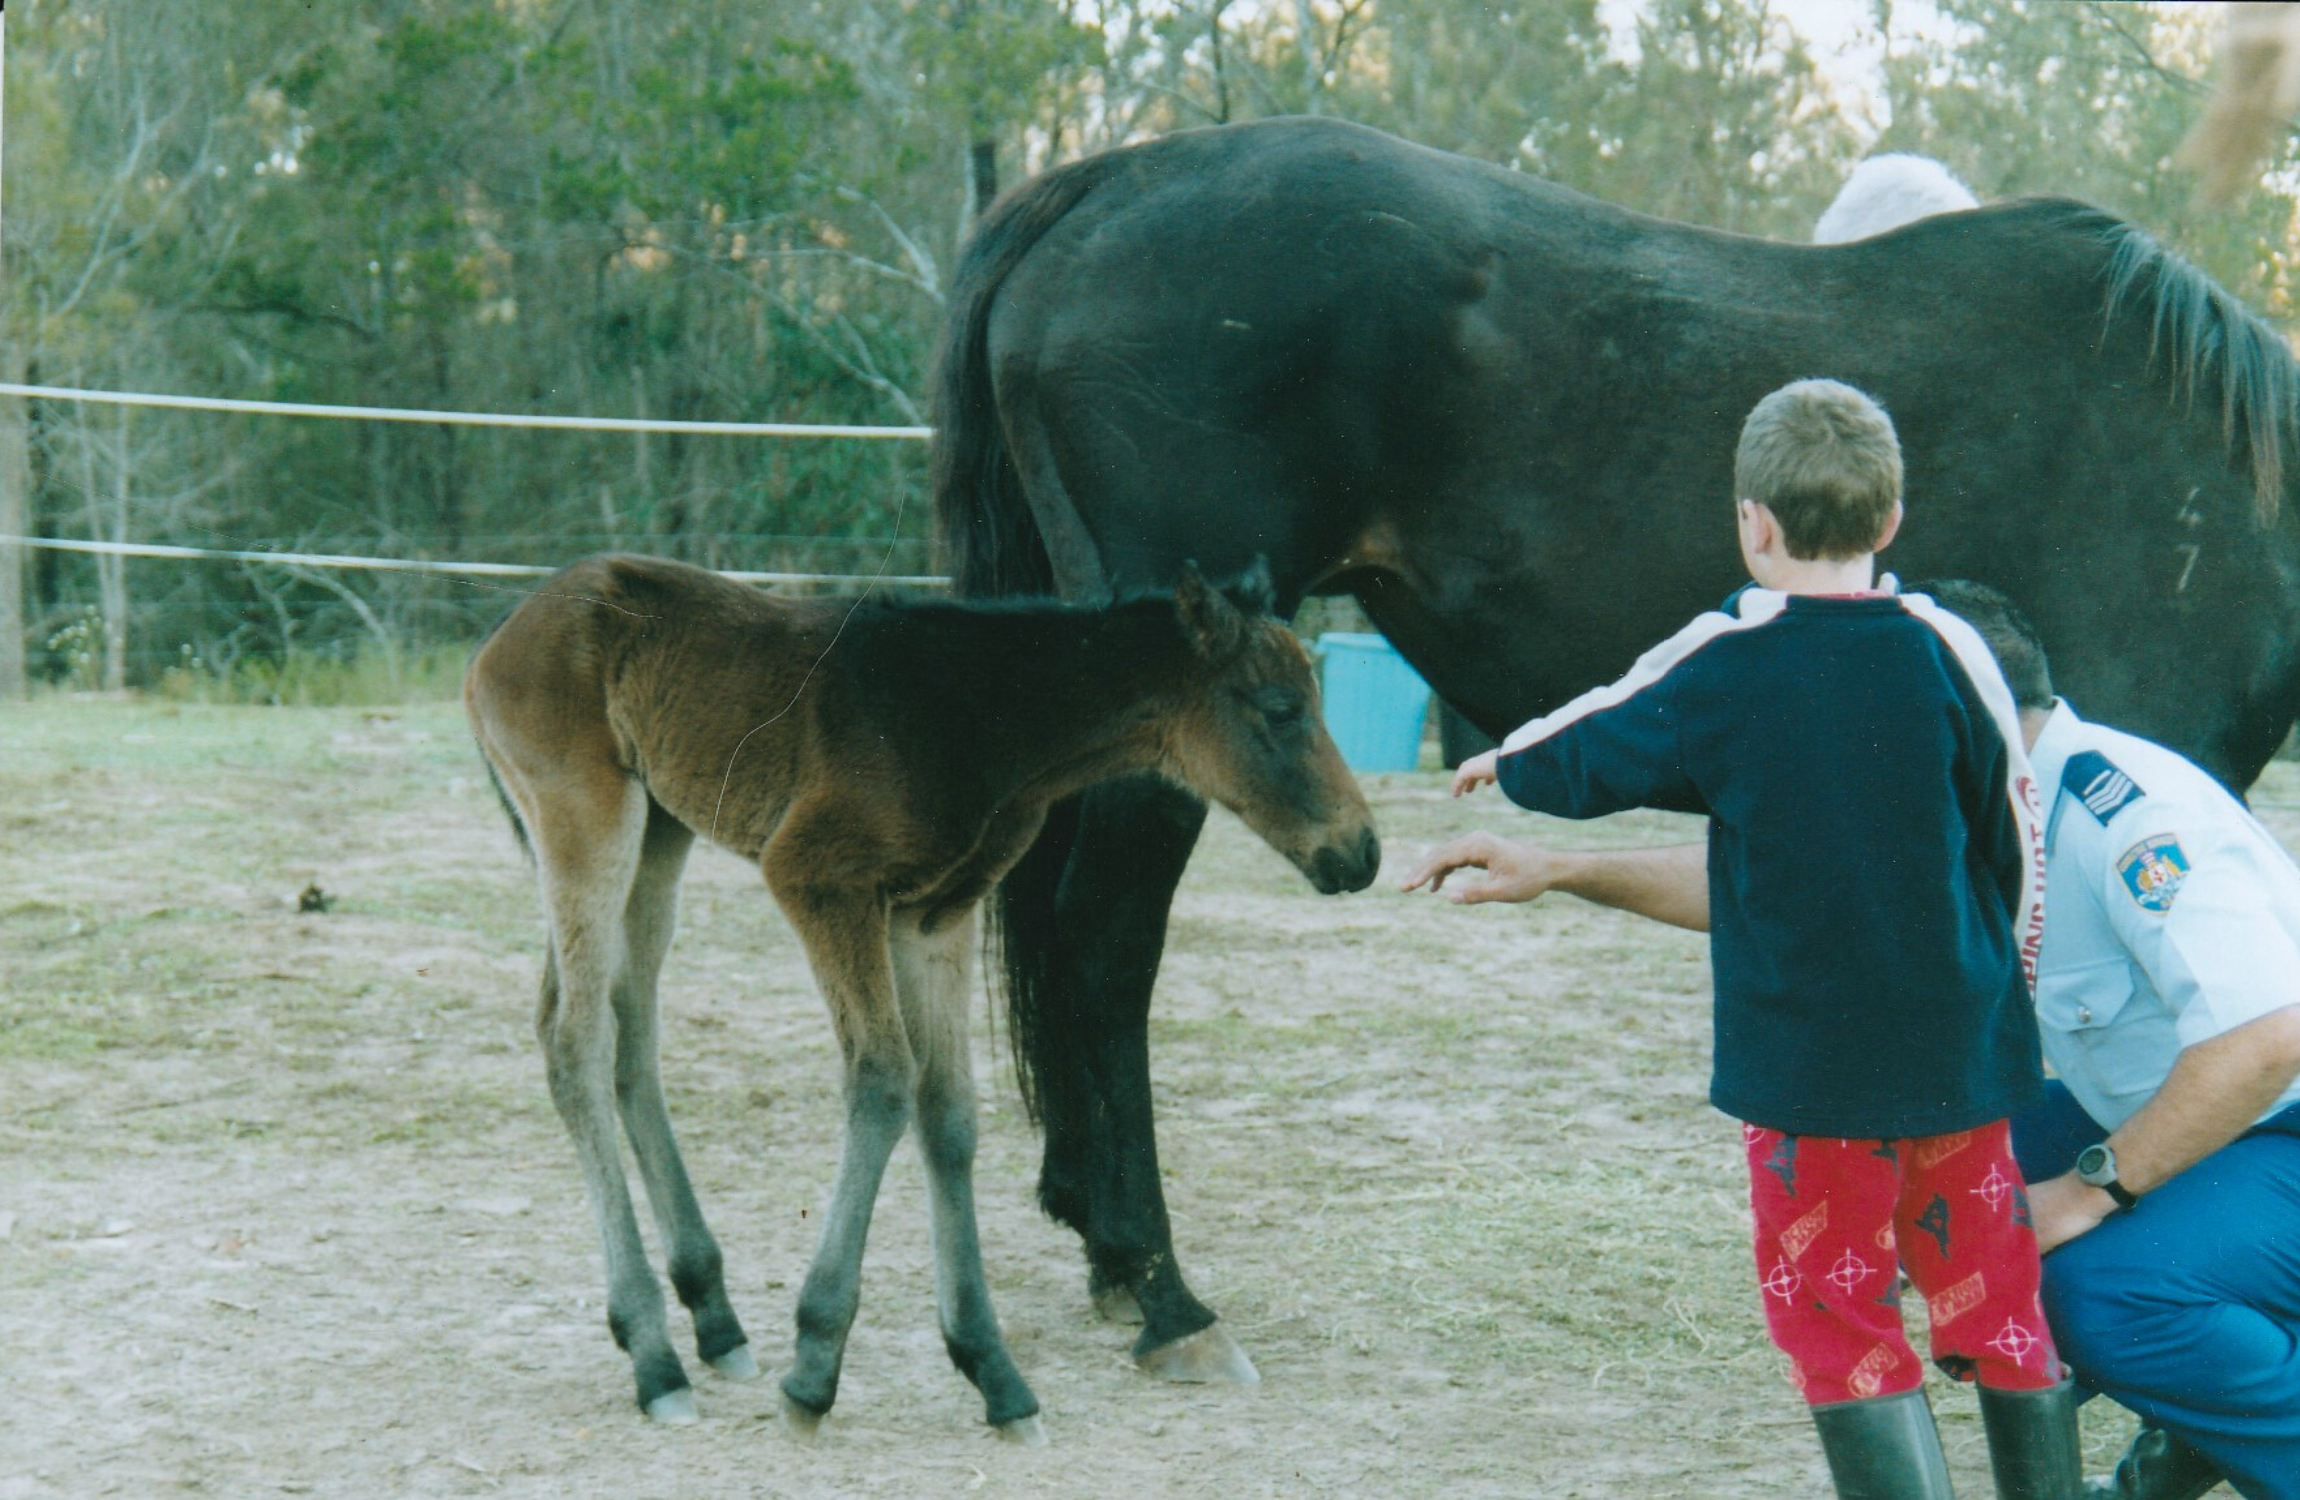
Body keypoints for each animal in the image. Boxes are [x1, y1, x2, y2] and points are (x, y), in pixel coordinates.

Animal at [463, 552, 1380, 1438]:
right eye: (1282, 710)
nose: (1362, 851)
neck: (977, 718)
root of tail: (503, 636)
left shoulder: (934, 916)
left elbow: (949, 1112)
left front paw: (992, 1371)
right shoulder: (818, 880)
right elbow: (883, 1083)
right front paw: (816, 1366)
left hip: (661, 833)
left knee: (632, 1037)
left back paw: (714, 1319)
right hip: (587, 820)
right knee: (574, 1042)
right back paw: (655, 1356)